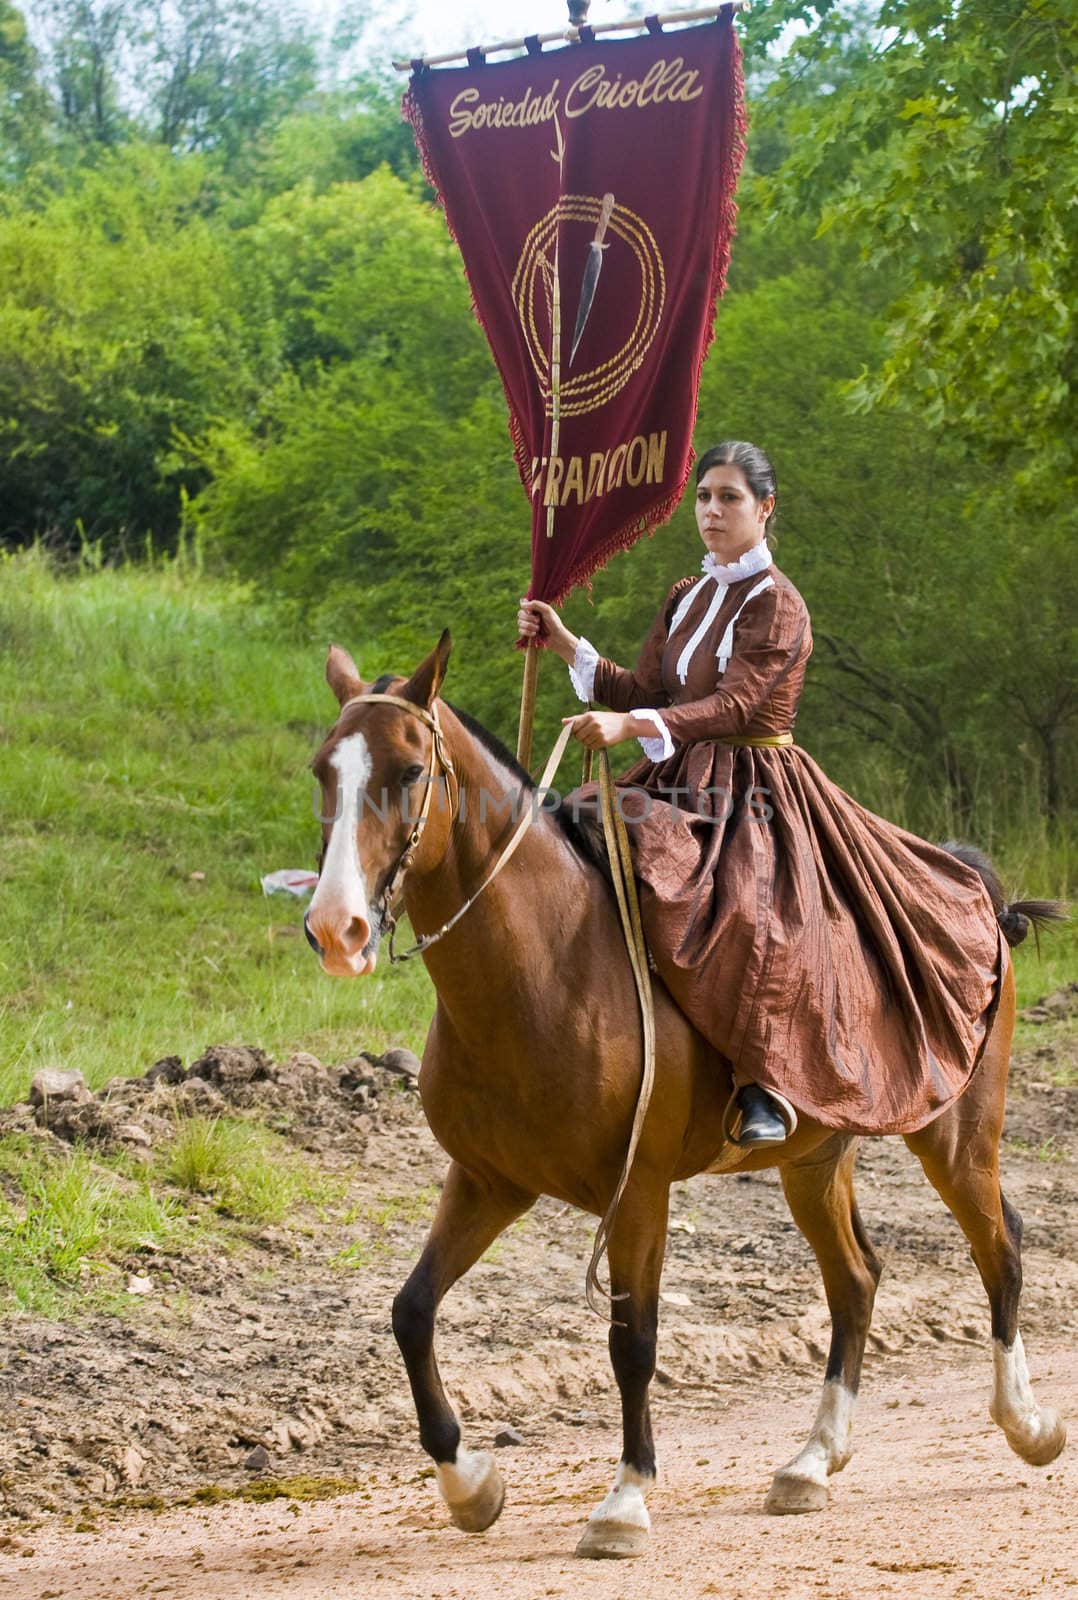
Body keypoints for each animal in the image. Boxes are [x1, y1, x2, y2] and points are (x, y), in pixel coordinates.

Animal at [307, 633, 1062, 1561]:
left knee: (1002, 1248)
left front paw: (625, 1502)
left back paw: (1027, 1424)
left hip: (956, 1135)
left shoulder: (638, 1190)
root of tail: (977, 888)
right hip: (815, 1158)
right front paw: (470, 1486)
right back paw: (812, 1461)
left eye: (411, 770)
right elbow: (412, 1311)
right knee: (856, 1278)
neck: (543, 966)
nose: (335, 929)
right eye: (323, 771)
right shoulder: (489, 1182)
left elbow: (632, 1339)